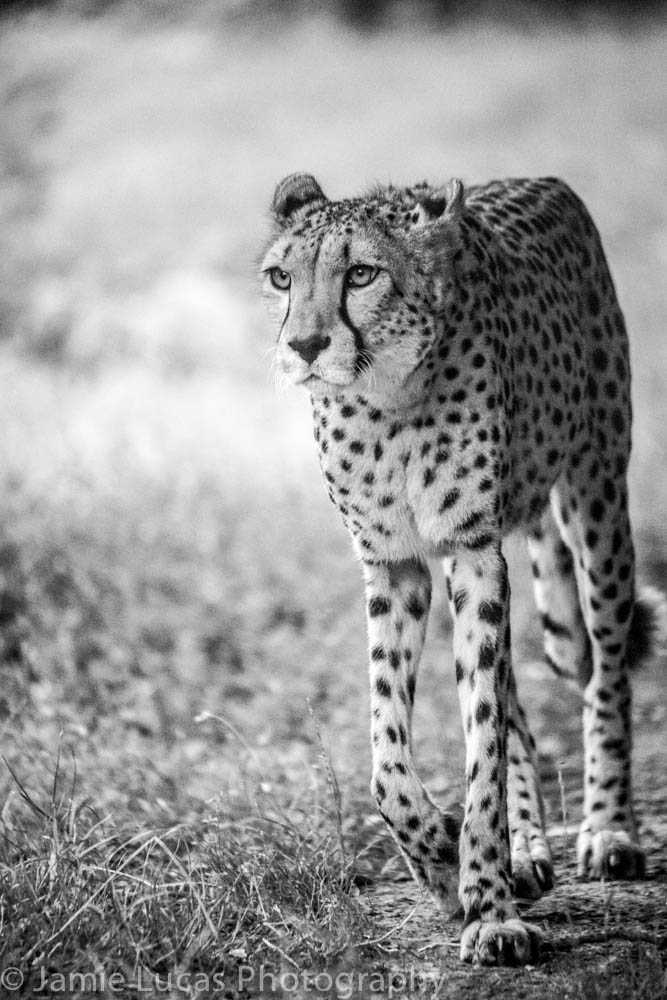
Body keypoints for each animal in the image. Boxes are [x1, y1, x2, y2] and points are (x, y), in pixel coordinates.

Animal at [259, 171, 664, 966]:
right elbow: (390, 761)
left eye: (362, 274)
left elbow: (482, 747)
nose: (305, 345)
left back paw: (607, 829)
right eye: (281, 278)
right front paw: (446, 864)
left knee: (604, 673)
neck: (385, 400)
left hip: (595, 496)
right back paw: (528, 848)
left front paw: (489, 907)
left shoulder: (474, 554)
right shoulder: (398, 566)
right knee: (516, 702)